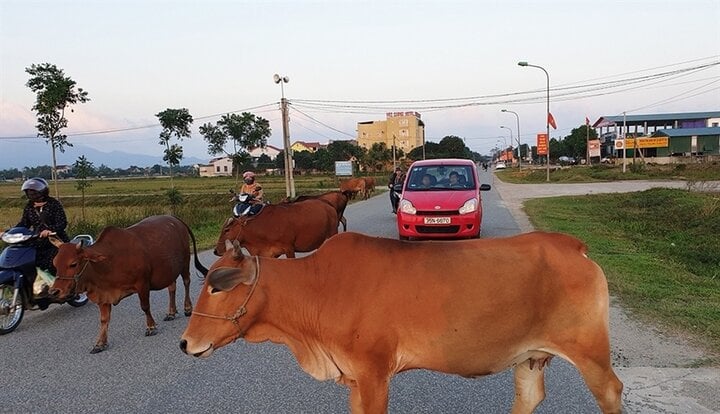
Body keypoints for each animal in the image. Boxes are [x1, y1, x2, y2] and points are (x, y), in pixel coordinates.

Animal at [50, 215, 208, 354]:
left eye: (73, 264)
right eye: (55, 263)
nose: (54, 291)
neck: (107, 263)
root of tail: (176, 219)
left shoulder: (142, 283)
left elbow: (145, 306)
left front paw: (151, 327)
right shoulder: (103, 295)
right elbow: (104, 320)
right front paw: (100, 343)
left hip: (185, 262)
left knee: (186, 282)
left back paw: (188, 308)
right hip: (169, 269)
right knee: (172, 288)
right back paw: (171, 312)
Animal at [181, 231, 624, 412]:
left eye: (216, 287)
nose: (185, 343)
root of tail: (573, 247)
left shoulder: (375, 374)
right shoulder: (355, 379)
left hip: (590, 352)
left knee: (611, 392)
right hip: (529, 356)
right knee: (529, 397)